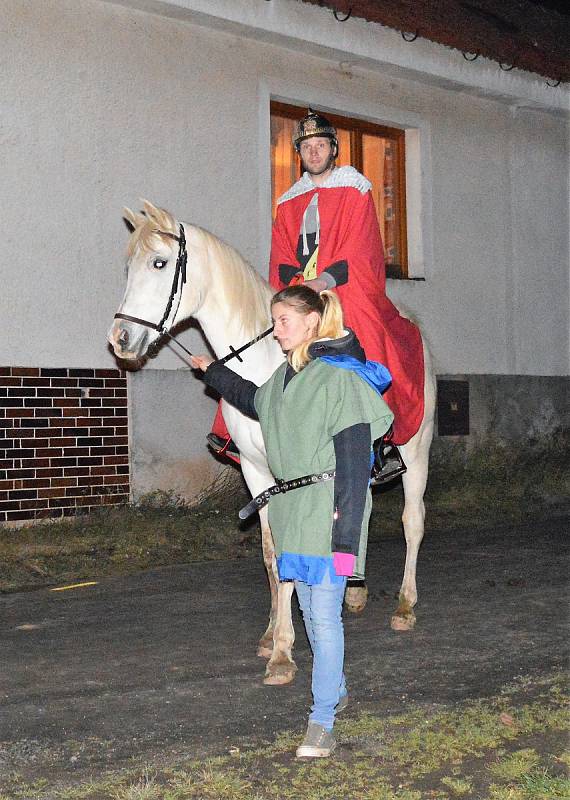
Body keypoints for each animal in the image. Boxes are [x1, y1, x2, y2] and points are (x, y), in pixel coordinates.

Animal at [107, 203, 434, 684]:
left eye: (160, 264)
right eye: (129, 267)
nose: (120, 340)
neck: (267, 363)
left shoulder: (290, 471)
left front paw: (283, 651)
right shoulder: (255, 471)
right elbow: (270, 553)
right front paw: (272, 634)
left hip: (415, 449)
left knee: (412, 521)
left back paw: (405, 605)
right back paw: (354, 592)